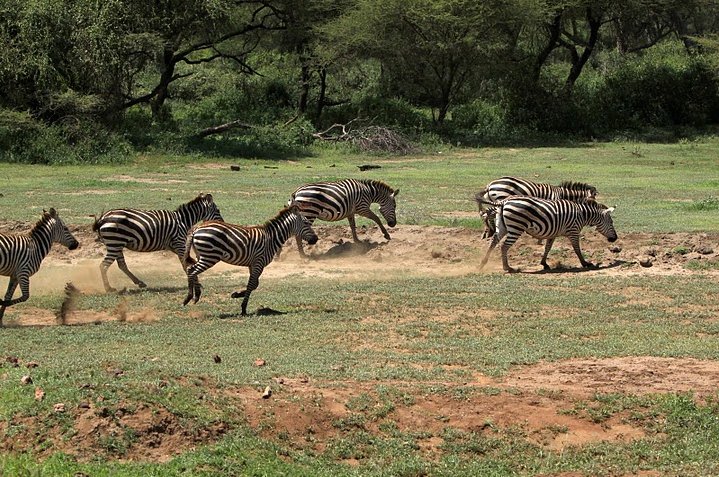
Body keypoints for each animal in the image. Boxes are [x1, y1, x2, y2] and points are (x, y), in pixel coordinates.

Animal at [94, 192, 222, 290]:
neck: (183, 220)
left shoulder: (174, 245)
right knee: (103, 265)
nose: (222, 222)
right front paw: (195, 282)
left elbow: (189, 261)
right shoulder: (179, 243)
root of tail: (103, 218)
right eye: (218, 211)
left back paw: (139, 283)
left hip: (117, 244)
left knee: (121, 265)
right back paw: (108, 288)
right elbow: (185, 263)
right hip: (115, 243)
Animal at [184, 203, 320, 314]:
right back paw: (190, 297)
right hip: (210, 256)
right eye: (306, 223)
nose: (316, 239)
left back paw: (196, 295)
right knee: (191, 270)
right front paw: (243, 307)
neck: (272, 238)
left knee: (191, 269)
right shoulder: (259, 263)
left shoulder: (253, 264)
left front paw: (236, 294)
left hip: (202, 255)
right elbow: (251, 284)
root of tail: (196, 229)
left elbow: (254, 284)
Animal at [478, 196, 620, 272]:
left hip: (502, 227)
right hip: (516, 227)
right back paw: (507, 268)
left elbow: (547, 248)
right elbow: (577, 249)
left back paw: (483, 263)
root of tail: (503, 202)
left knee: (493, 241)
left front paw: (544, 264)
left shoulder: (553, 233)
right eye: (611, 222)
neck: (583, 215)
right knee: (504, 246)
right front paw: (585, 263)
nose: (615, 239)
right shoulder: (573, 231)